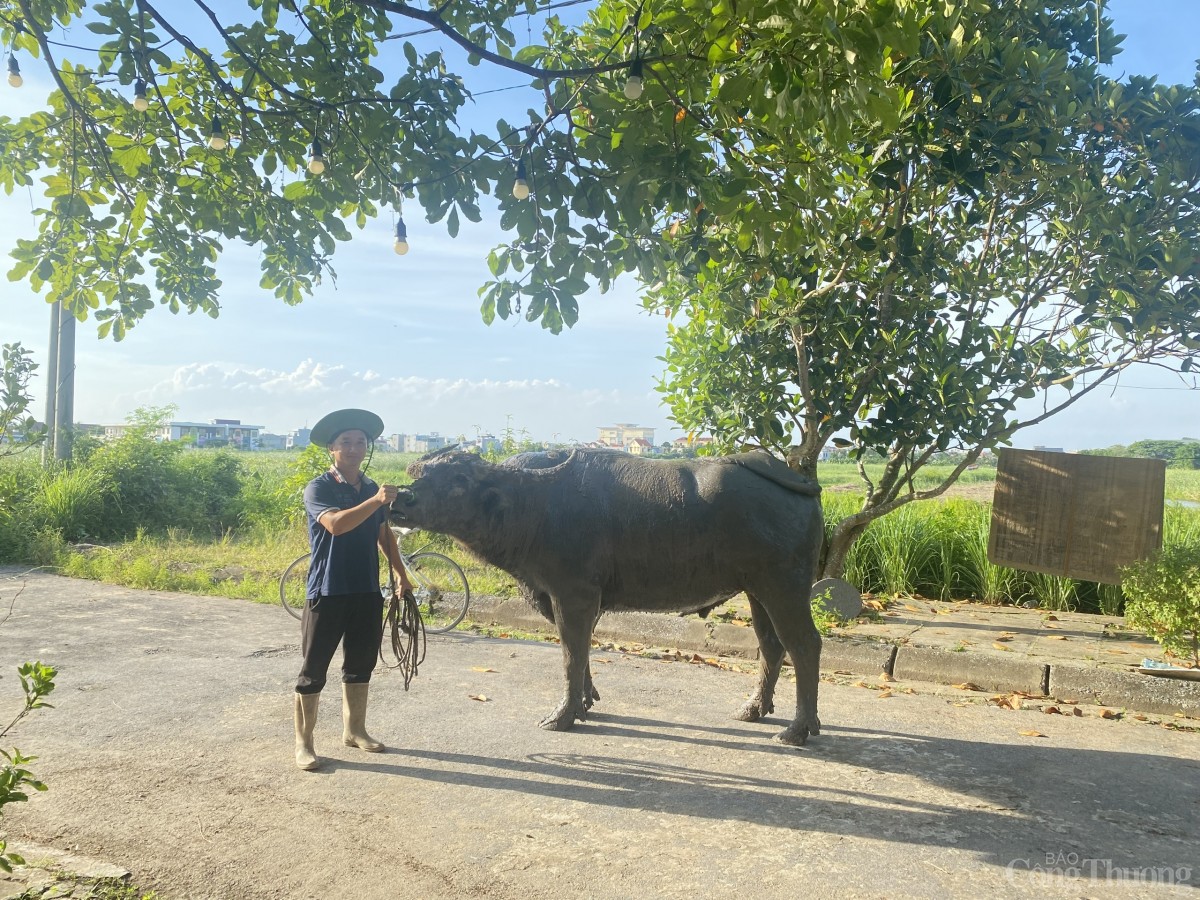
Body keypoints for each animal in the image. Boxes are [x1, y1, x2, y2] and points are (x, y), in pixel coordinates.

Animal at [393, 448, 825, 748]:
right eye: (421, 474)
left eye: (460, 479)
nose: (400, 500)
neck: (535, 505)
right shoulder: (571, 599)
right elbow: (581, 652)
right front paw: (586, 702)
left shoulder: (574, 594)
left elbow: (571, 654)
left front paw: (563, 715)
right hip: (757, 590)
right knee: (772, 646)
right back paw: (754, 709)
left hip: (785, 586)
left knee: (804, 644)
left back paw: (798, 729)